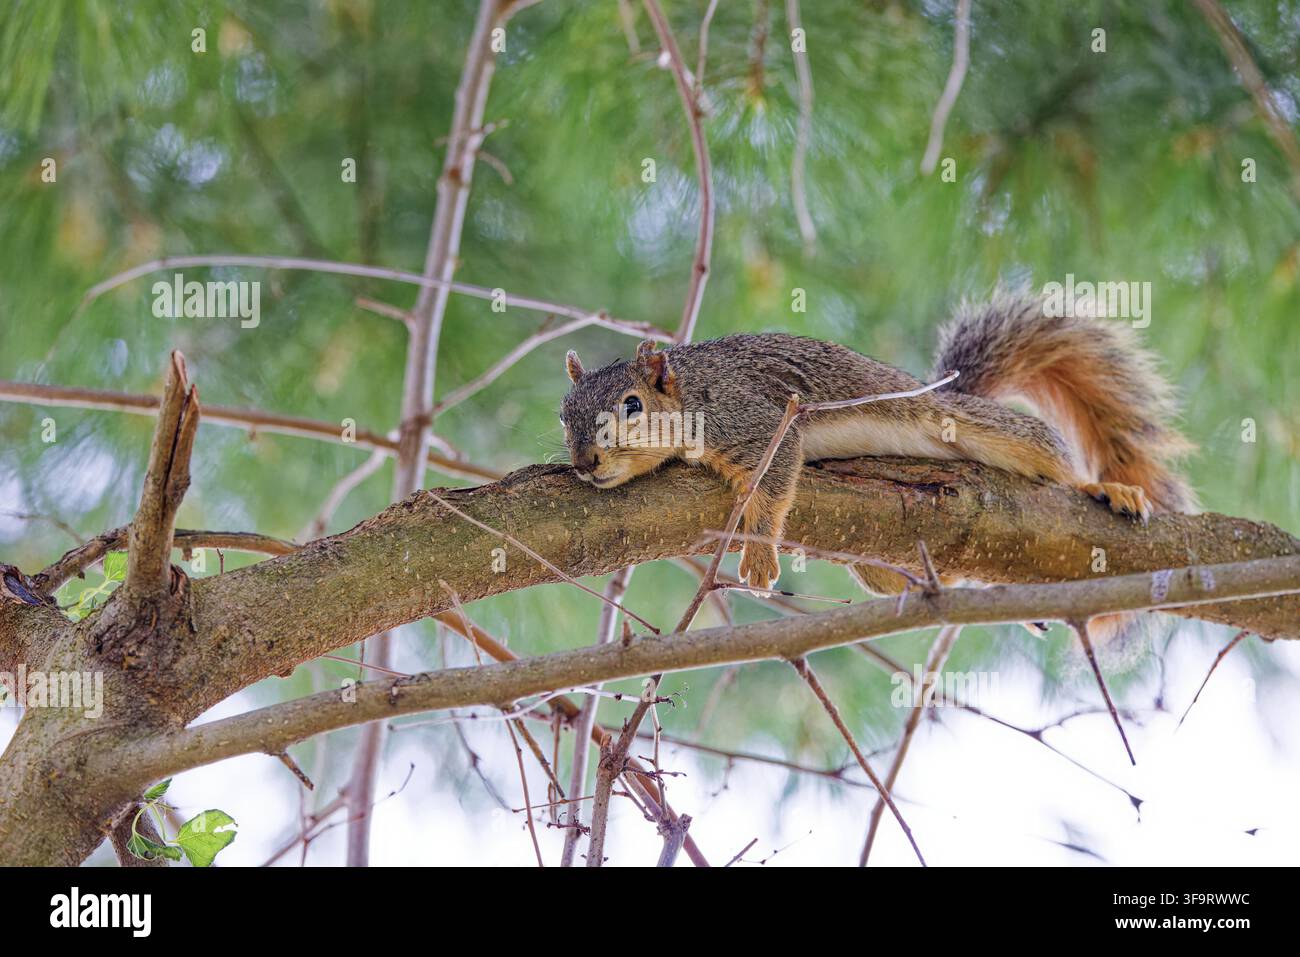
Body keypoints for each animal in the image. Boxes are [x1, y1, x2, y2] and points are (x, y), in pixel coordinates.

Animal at [560, 290, 1194, 595]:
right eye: (563, 416)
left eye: (632, 407)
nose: (585, 464)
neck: (693, 389)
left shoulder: (755, 421)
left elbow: (773, 484)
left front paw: (760, 558)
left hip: (978, 426)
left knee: (1053, 458)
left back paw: (1106, 488)